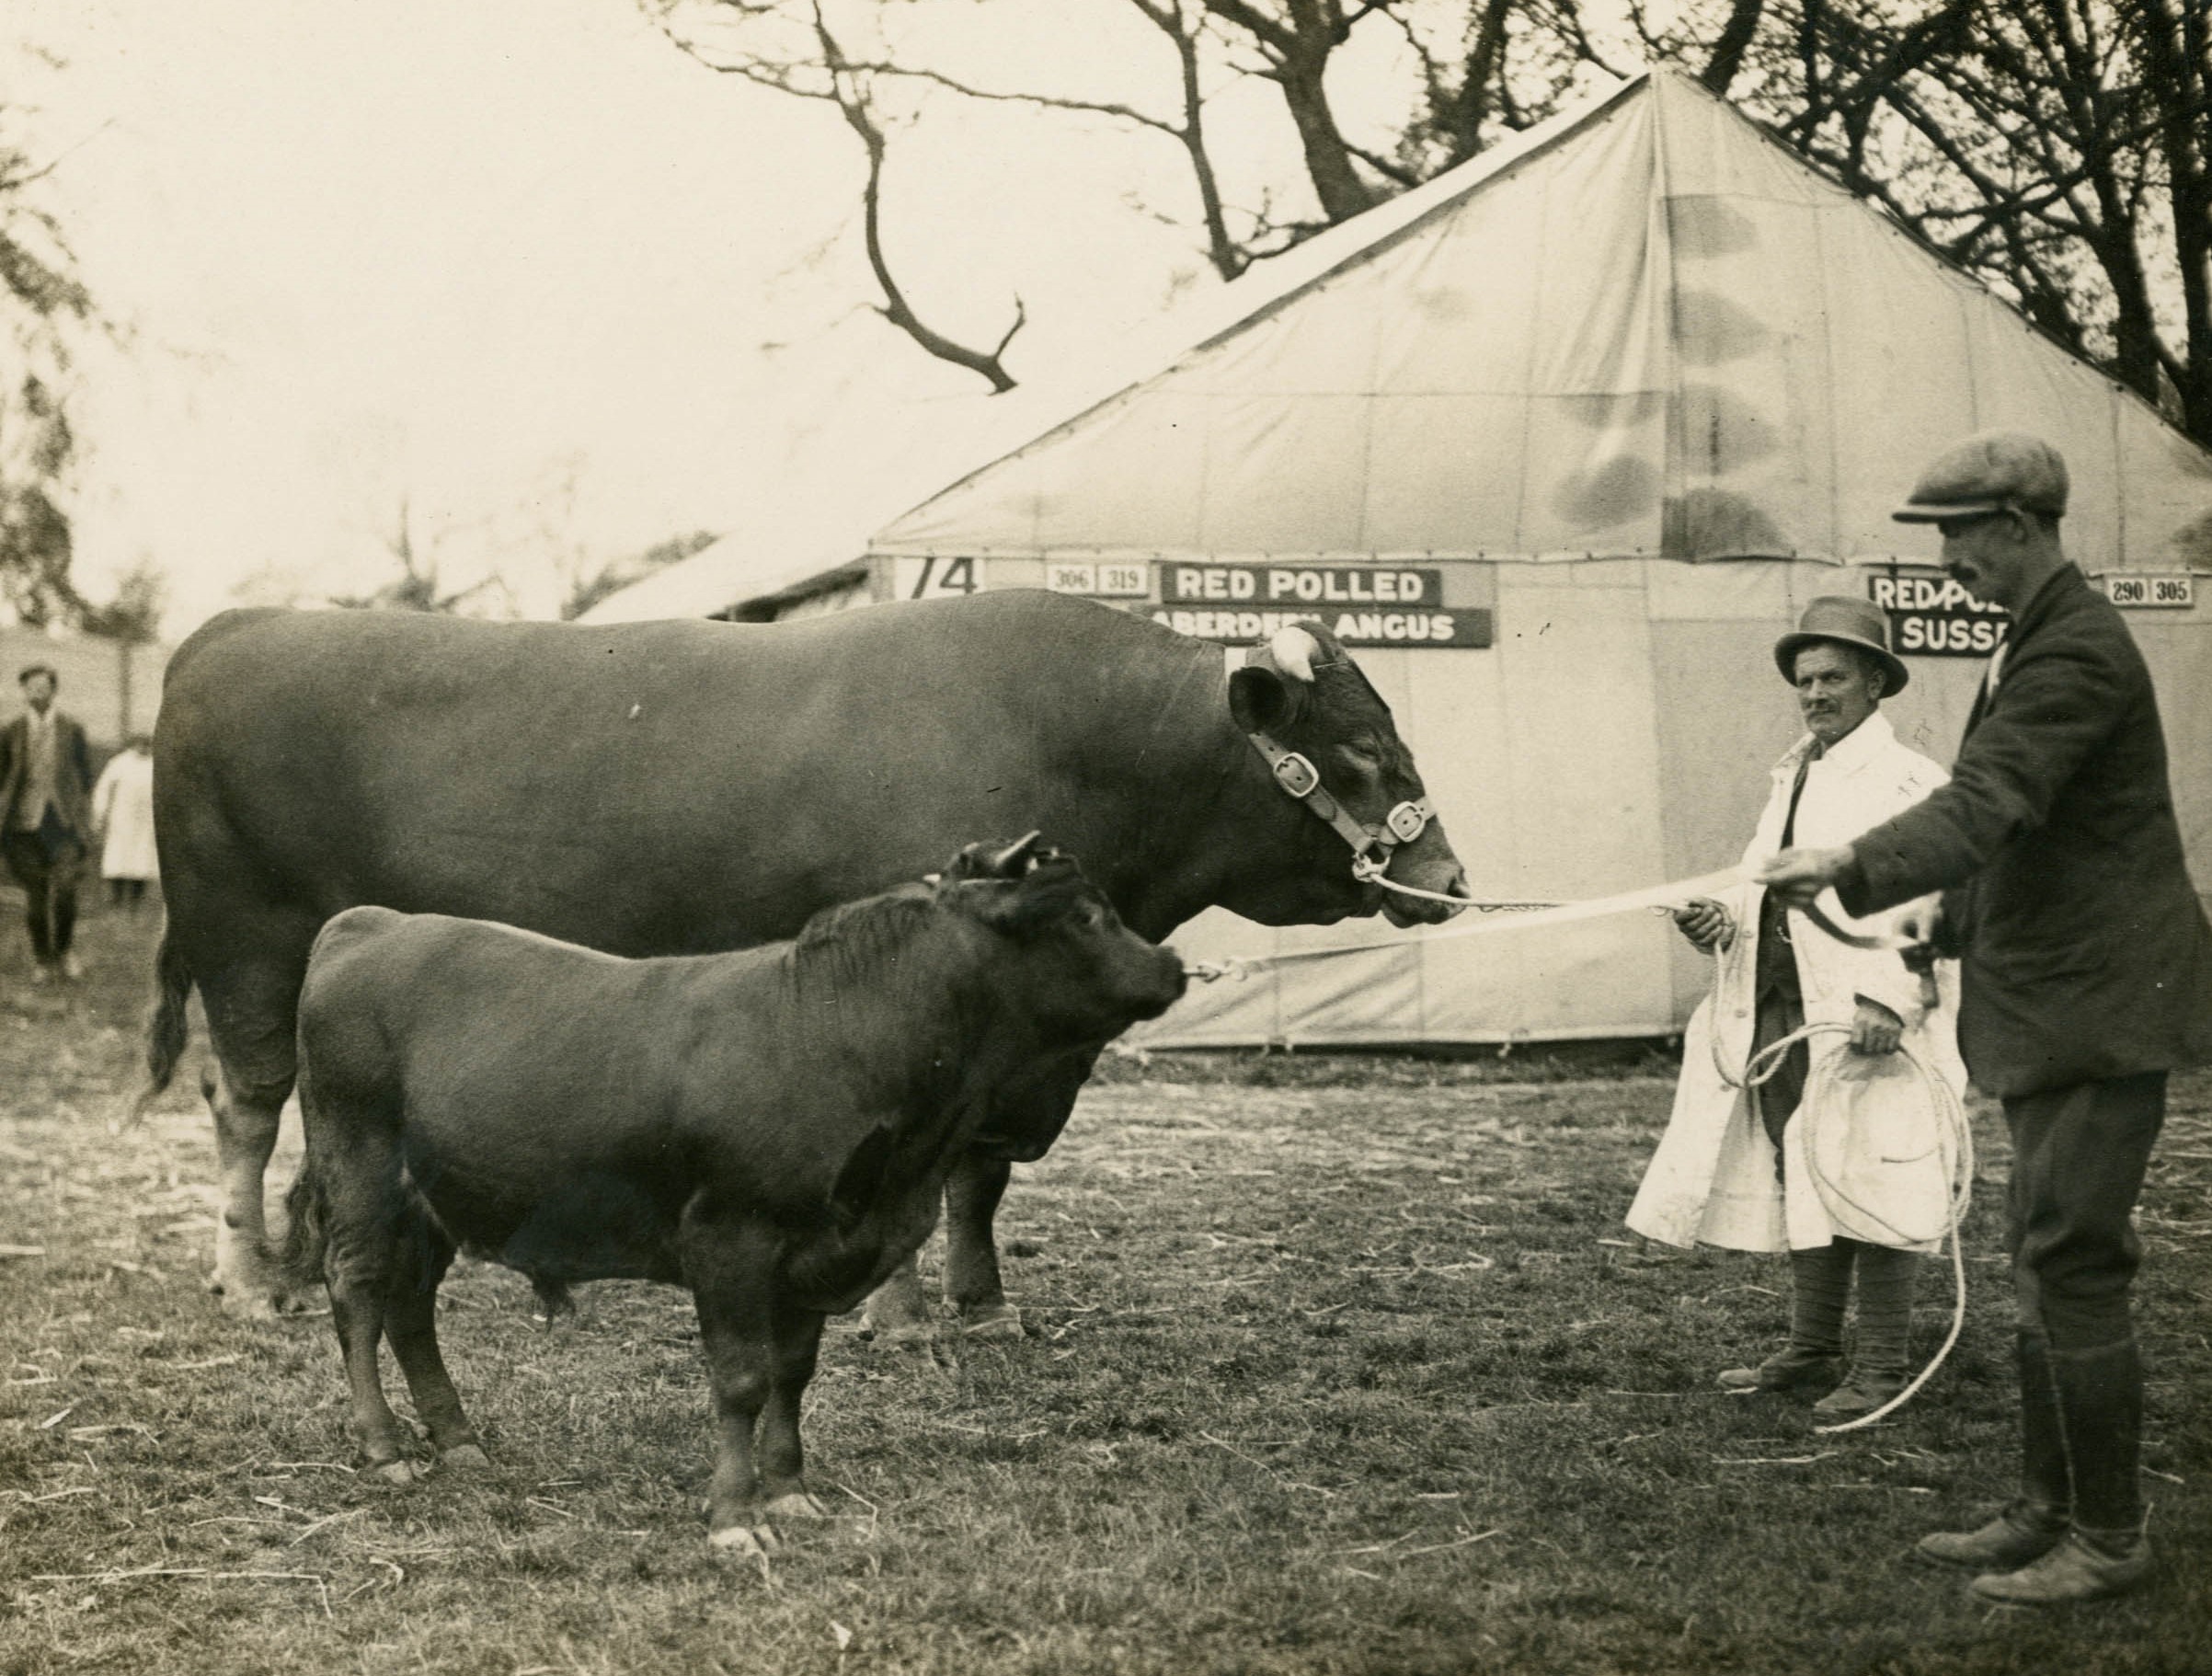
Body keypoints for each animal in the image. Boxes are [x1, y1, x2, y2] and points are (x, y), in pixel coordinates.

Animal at [143, 589, 1468, 1325]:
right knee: (244, 1103)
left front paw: (982, 1306)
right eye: (1357, 751)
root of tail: (233, 625)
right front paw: (907, 1314)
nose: (1450, 878)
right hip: (248, 946)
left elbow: (979, 1178)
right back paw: (249, 1281)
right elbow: (926, 1171)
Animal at [267, 836, 1187, 1551]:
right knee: (359, 1293)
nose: (1174, 965)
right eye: (1085, 917)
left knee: (411, 1307)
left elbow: (791, 1375)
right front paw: (736, 1516)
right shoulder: (730, 1238)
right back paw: (385, 1446)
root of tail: (375, 922)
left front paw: (791, 1494)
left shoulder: (816, 1251)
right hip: (361, 1170)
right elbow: (742, 1379)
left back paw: (457, 1440)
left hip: (436, 1199)